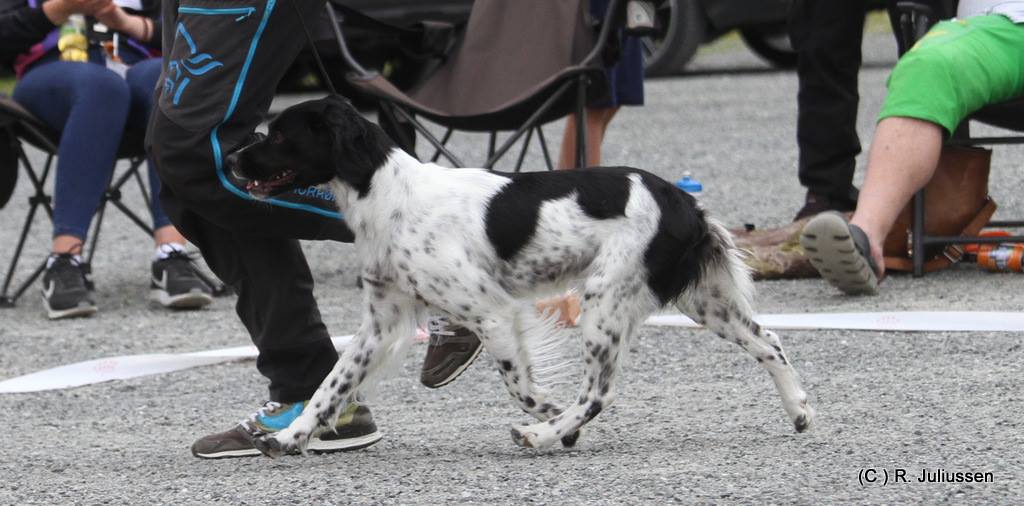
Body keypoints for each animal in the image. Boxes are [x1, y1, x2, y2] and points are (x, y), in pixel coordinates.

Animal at [230, 95, 815, 454]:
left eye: (278, 136)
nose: (232, 159)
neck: (389, 194)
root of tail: (684, 202)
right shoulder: (382, 323)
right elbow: (332, 385)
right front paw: (290, 437)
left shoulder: (491, 312)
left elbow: (522, 386)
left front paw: (552, 423)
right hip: (700, 302)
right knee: (771, 341)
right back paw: (800, 412)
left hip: (604, 302)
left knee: (599, 394)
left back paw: (542, 435)